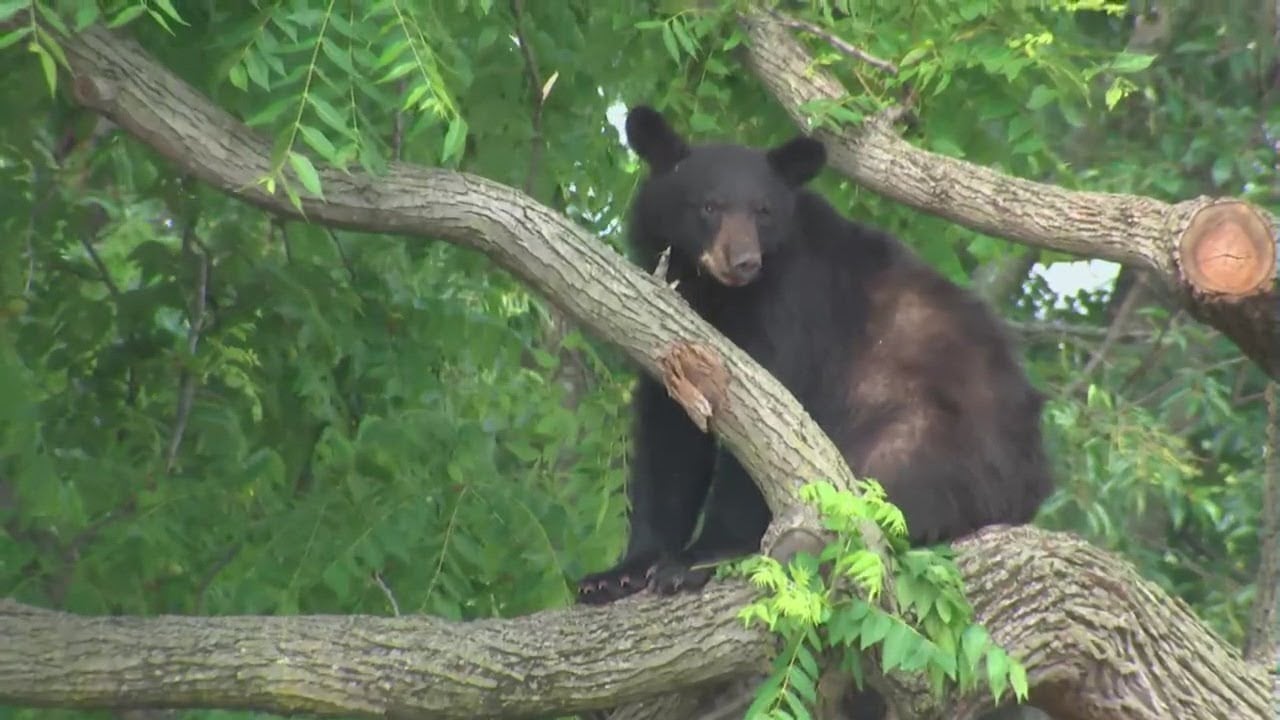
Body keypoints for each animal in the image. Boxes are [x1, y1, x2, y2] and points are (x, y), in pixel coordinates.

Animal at [576, 103, 1054, 602]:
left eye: (763, 211)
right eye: (708, 206)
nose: (743, 261)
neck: (717, 297)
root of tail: (1033, 486)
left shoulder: (792, 310)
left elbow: (768, 427)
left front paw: (695, 560)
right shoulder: (667, 334)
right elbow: (668, 440)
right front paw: (618, 573)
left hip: (925, 436)